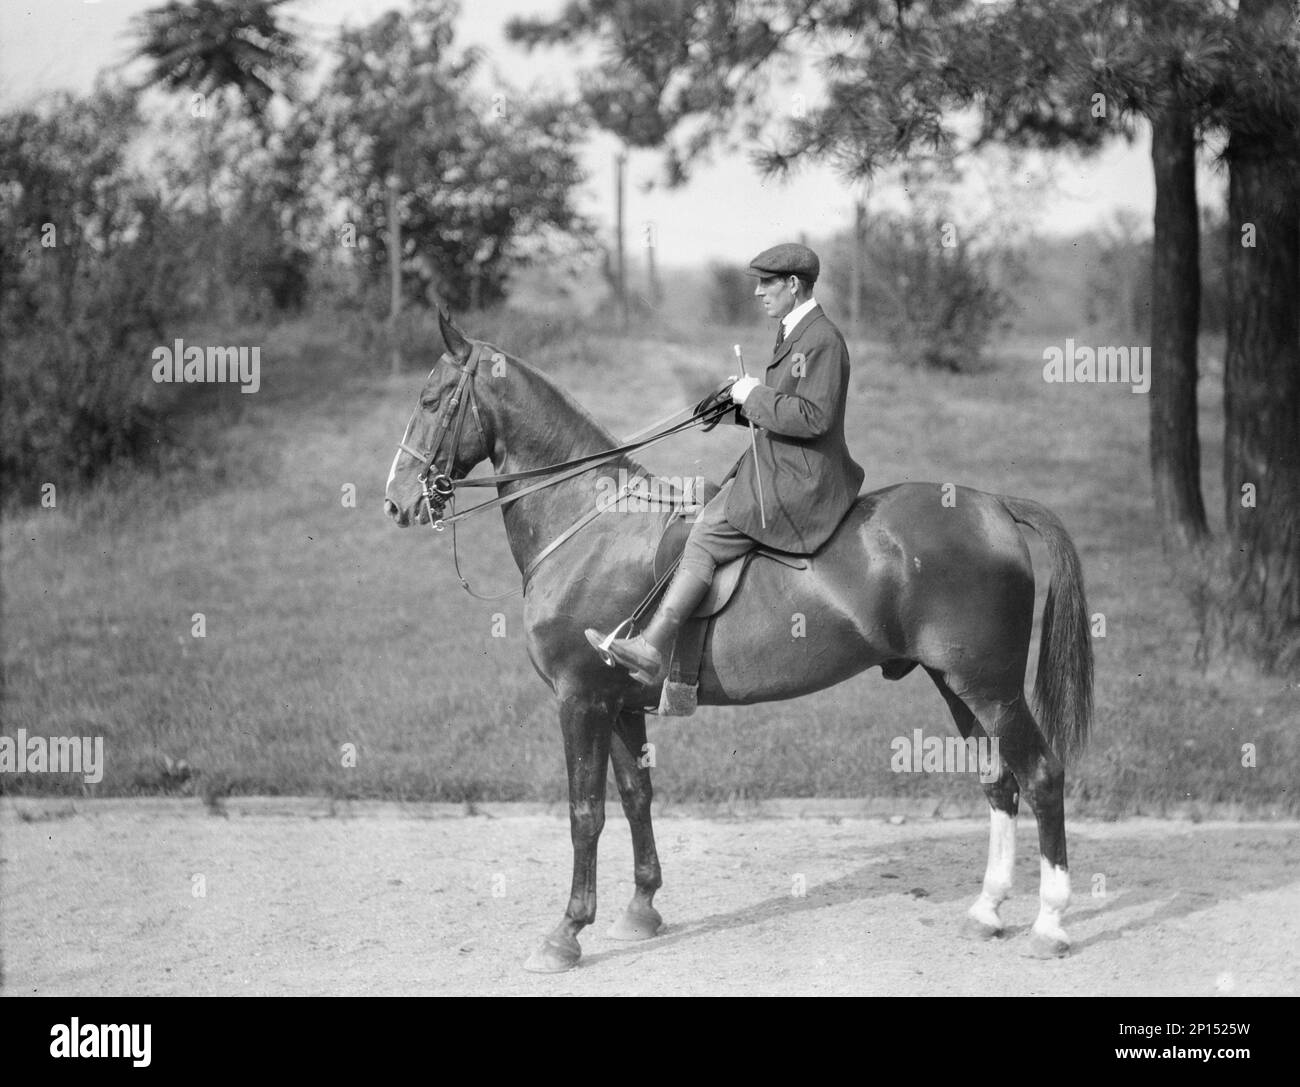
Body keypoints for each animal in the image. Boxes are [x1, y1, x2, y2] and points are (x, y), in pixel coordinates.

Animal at [379, 309, 1092, 972]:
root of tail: (994, 506)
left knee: (1042, 775)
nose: (395, 502)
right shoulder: (618, 705)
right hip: (957, 685)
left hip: (991, 687)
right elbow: (636, 798)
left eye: (432, 400)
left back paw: (1049, 924)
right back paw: (987, 911)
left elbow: (585, 814)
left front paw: (565, 934)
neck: (591, 523)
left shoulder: (580, 700)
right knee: (1000, 782)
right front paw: (641, 910)